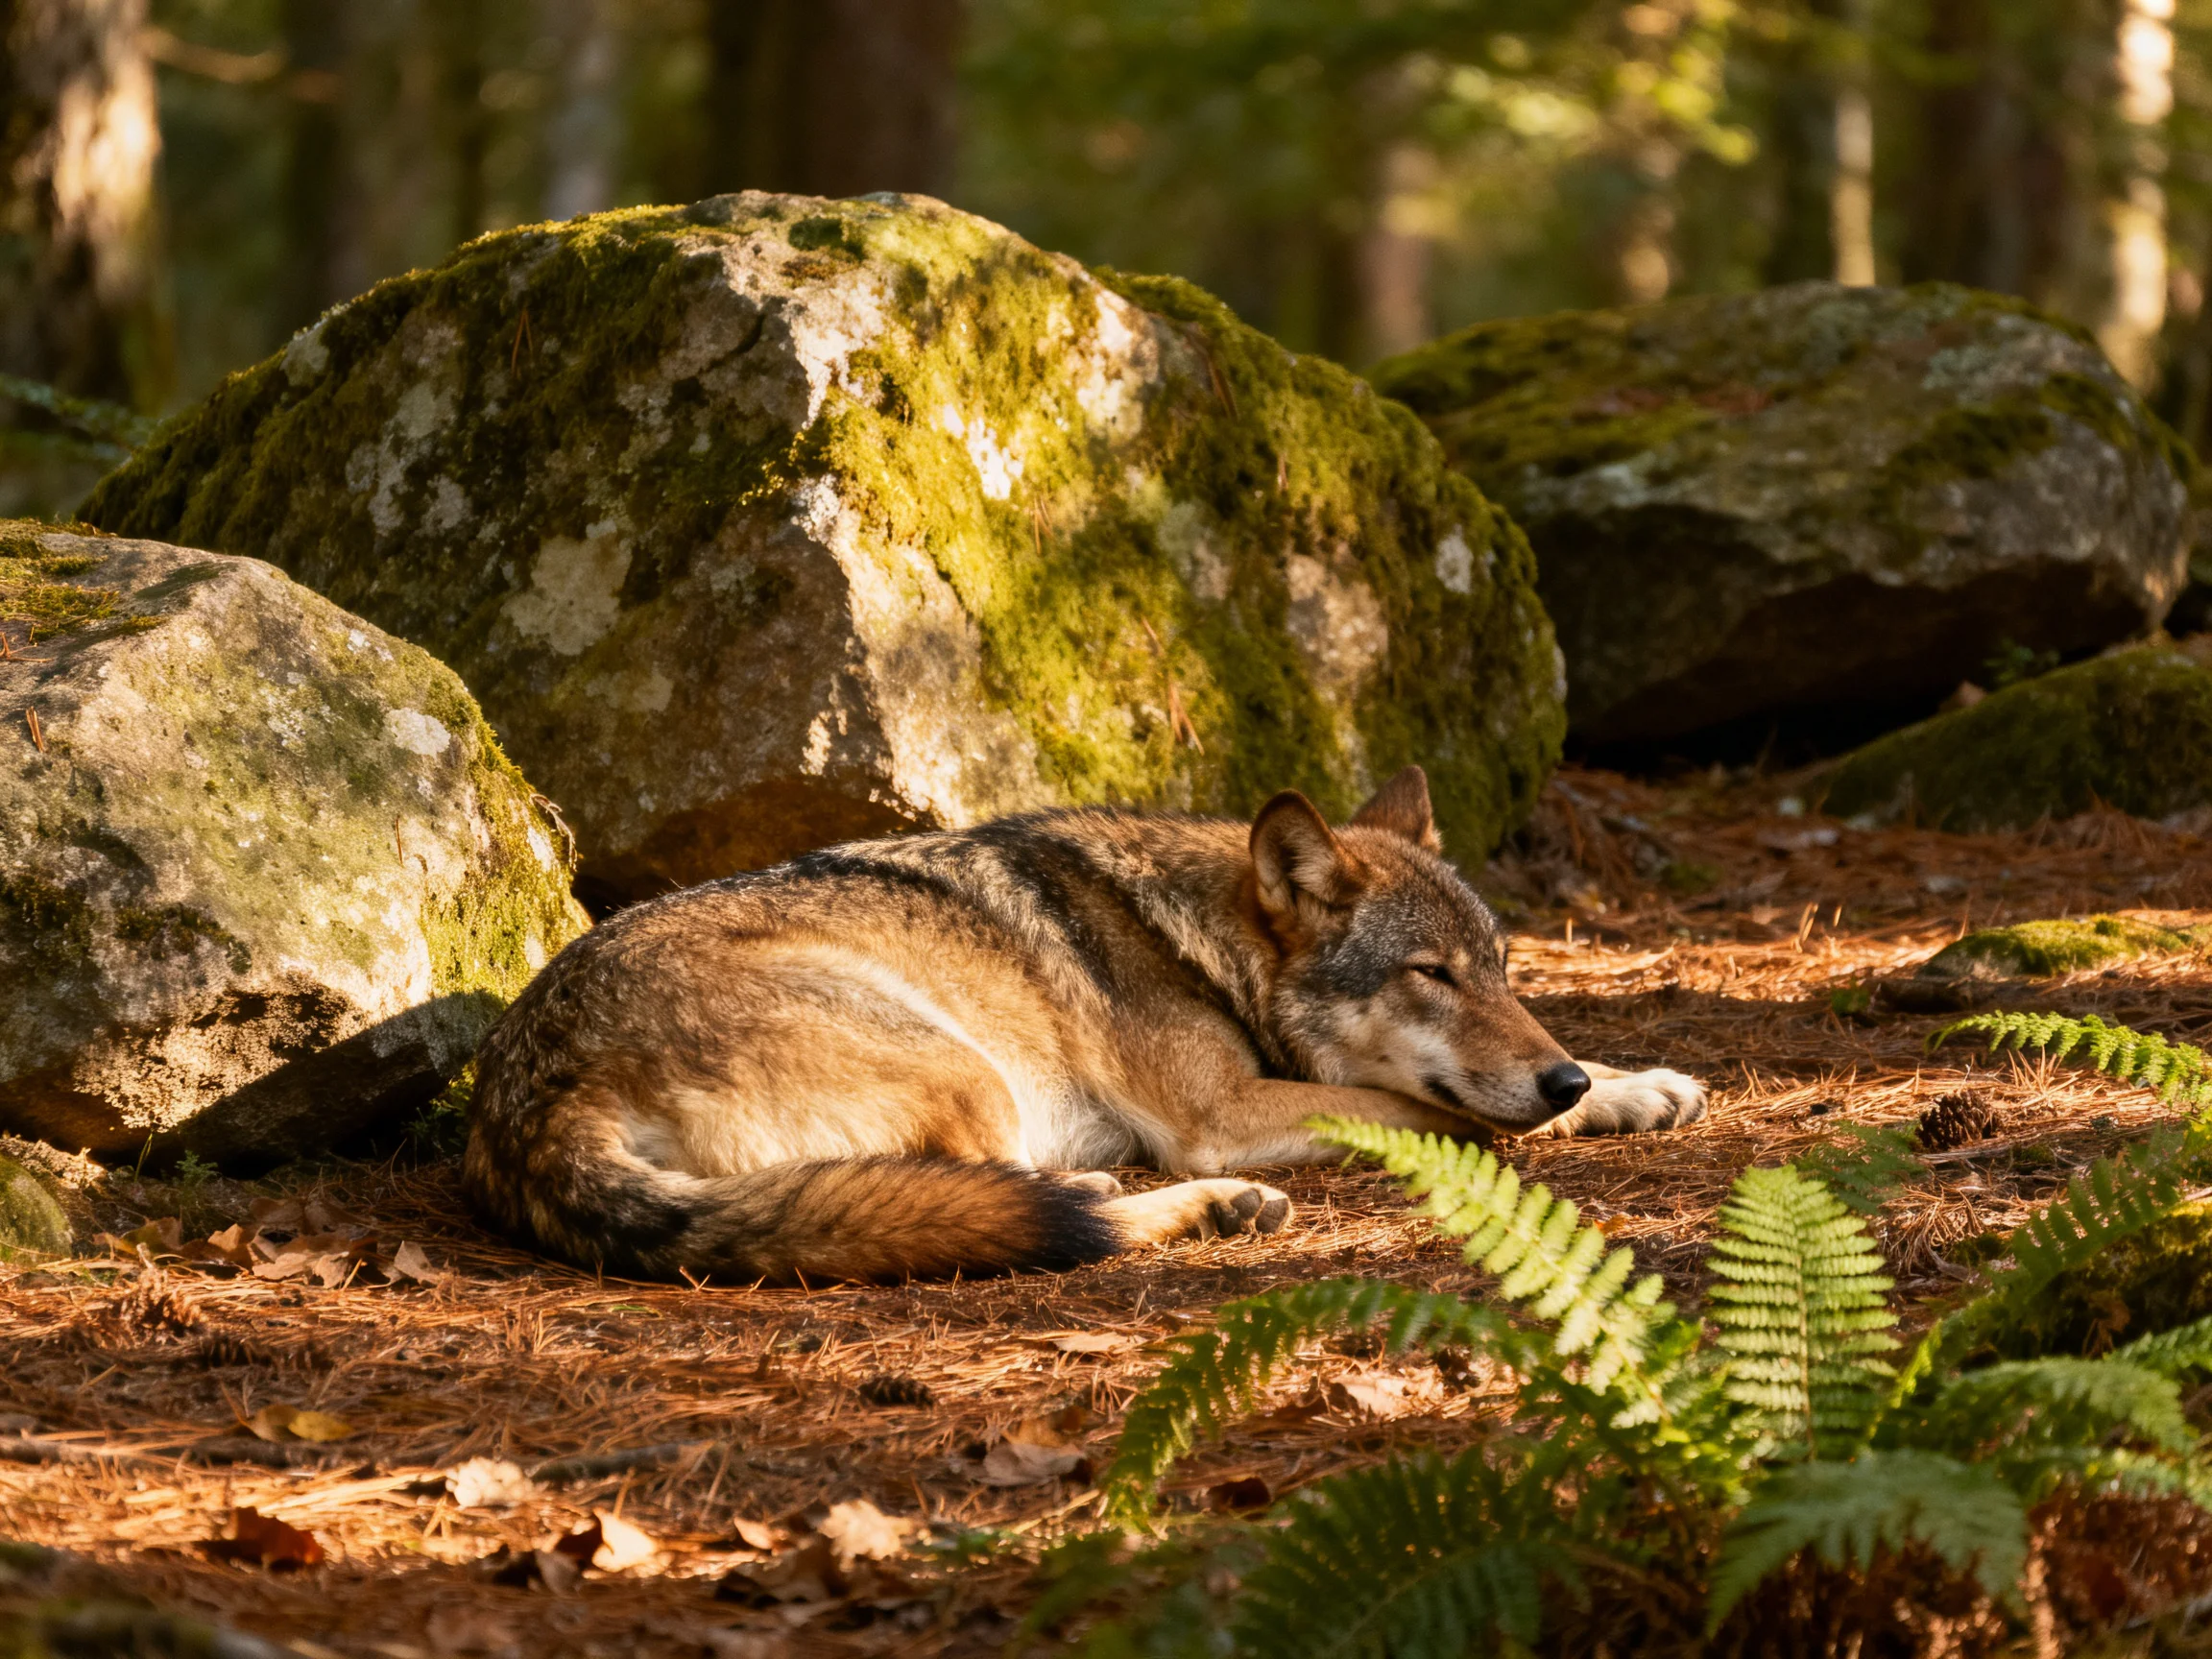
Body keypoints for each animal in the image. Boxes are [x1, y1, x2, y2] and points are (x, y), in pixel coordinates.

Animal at [464, 767, 1705, 1284]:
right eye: (1429, 975)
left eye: (1501, 970)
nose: (1561, 1083)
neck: (1200, 944)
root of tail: (526, 1098)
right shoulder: (1219, 1113)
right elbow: (1425, 1108)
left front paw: (1632, 1084)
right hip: (958, 1060)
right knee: (1008, 1195)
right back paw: (1184, 1204)